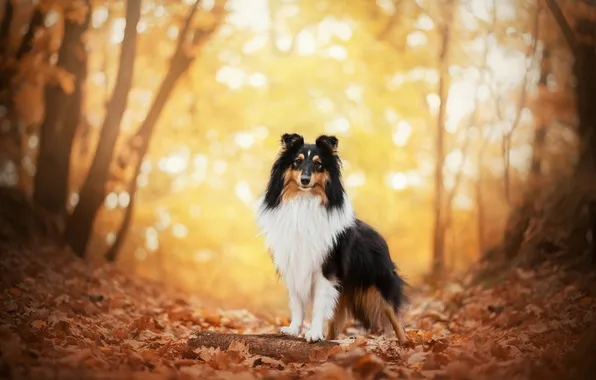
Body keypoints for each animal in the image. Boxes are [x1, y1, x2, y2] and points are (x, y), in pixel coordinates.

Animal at [254, 134, 408, 344]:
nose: (305, 180)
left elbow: (319, 305)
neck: (305, 201)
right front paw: (293, 329)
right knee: (336, 321)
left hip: (380, 281)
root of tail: (379, 237)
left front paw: (314, 334)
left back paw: (406, 343)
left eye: (318, 164)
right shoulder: (293, 266)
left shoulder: (326, 269)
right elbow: (297, 302)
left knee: (394, 315)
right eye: (297, 162)